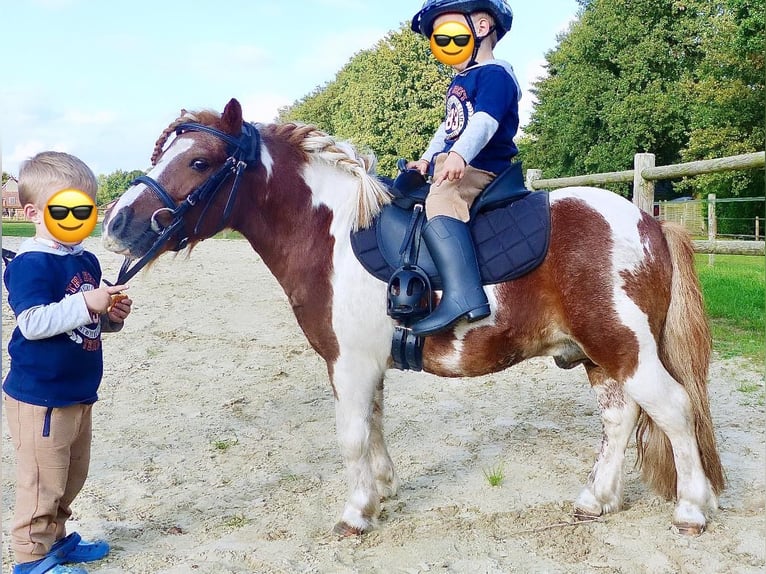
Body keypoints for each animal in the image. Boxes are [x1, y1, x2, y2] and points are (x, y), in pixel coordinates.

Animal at [103, 98, 728, 536]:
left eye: (199, 161)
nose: (116, 223)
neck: (331, 234)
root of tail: (649, 223)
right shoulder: (367, 365)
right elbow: (375, 427)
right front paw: (382, 492)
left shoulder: (349, 363)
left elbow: (352, 435)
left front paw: (357, 513)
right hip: (602, 356)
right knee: (620, 419)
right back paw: (596, 501)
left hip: (625, 349)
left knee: (674, 409)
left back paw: (692, 510)